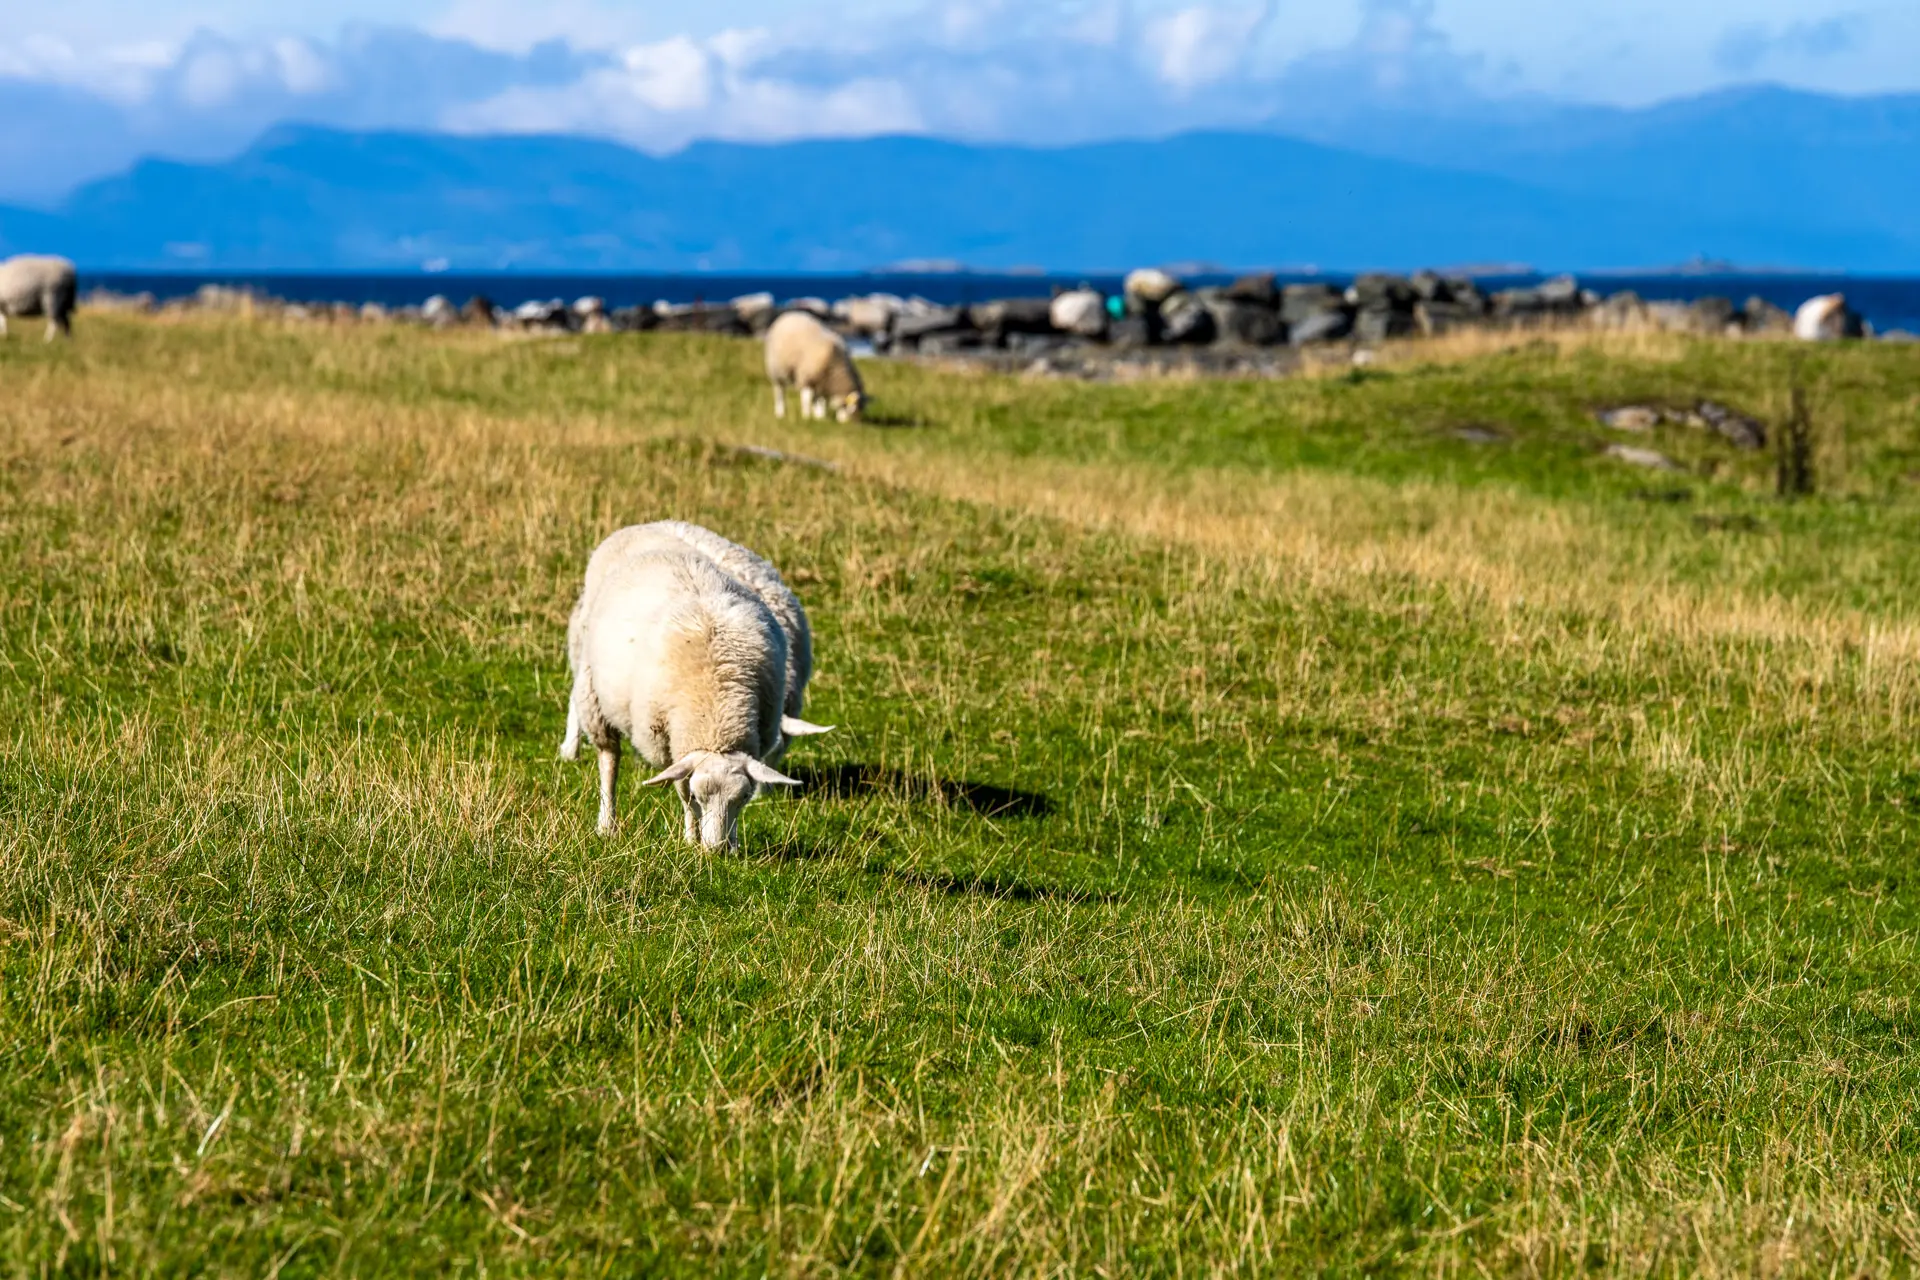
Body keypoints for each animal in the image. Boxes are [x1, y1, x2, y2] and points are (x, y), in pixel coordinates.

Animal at [556, 525, 825, 844]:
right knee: (608, 757)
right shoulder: (670, 743)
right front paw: (691, 838)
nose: (718, 849)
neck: (716, 715)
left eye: (743, 798)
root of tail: (644, 525)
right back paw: (604, 817)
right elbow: (683, 795)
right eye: (700, 796)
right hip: (589, 676)